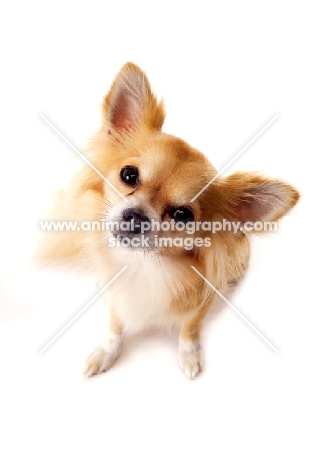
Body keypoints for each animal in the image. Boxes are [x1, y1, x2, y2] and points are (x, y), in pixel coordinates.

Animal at [41, 62, 300, 378]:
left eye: (182, 215)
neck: (143, 265)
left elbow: (189, 329)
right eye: (129, 175)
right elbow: (115, 327)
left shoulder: (202, 303)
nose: (135, 216)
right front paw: (106, 352)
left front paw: (189, 356)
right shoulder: (116, 296)